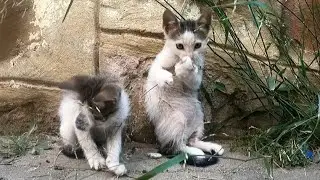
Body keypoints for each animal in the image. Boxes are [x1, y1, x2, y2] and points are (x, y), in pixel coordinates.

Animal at [145, 8, 225, 166]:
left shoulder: (197, 77)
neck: (177, 59)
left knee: (189, 141)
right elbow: (158, 71)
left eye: (197, 45)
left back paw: (210, 148)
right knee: (175, 146)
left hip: (199, 116)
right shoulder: (156, 65)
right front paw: (167, 77)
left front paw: (185, 68)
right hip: (177, 118)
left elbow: (192, 79)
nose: (189, 56)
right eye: (179, 46)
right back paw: (196, 152)